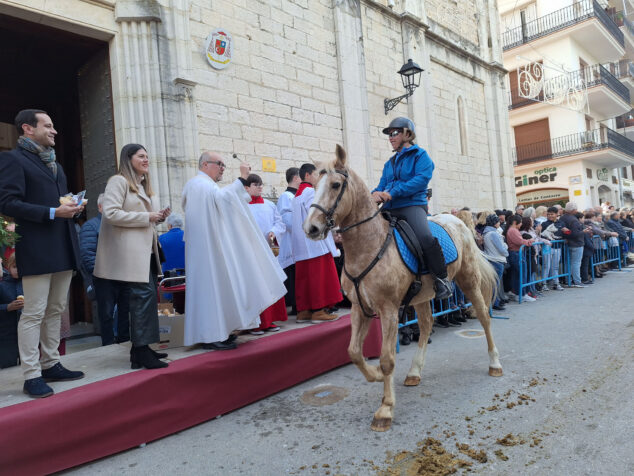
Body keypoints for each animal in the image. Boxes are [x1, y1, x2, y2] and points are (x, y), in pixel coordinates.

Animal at [304, 145, 502, 432]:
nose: (311, 228)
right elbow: (354, 352)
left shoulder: (388, 310)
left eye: (335, 184)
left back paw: (495, 363)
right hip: (423, 296)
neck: (368, 246)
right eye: (312, 185)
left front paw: (385, 409)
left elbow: (386, 358)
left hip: (469, 281)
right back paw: (414, 372)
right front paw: (375, 376)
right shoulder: (360, 308)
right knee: (427, 326)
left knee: (484, 318)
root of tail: (459, 222)